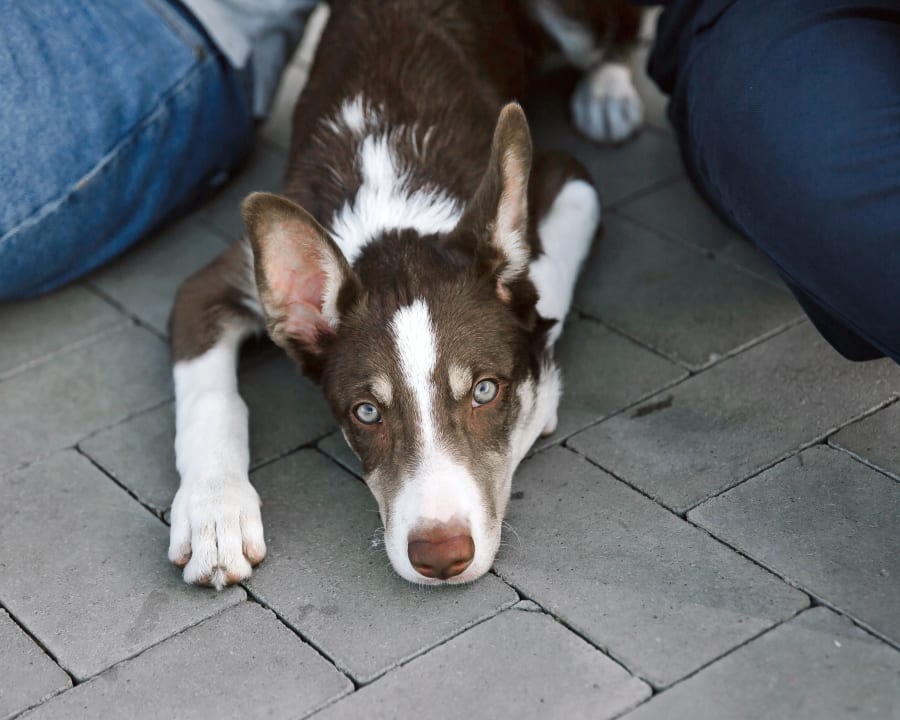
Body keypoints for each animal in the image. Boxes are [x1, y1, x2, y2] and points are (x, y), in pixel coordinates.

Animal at [169, 0, 644, 588]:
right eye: (367, 412)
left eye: (484, 391)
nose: (441, 557)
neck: (392, 197)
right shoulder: (213, 284)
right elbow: (210, 400)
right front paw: (214, 514)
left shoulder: (570, 179)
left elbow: (541, 283)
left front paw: (541, 393)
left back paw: (608, 93)